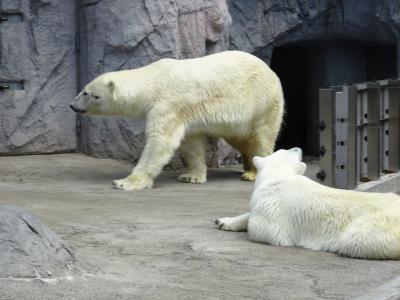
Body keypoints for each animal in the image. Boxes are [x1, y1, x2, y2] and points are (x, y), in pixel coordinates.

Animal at [70, 49, 282, 190]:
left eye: (89, 93)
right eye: (83, 90)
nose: (72, 105)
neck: (153, 82)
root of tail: (270, 70)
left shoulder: (168, 105)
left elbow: (160, 142)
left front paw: (126, 182)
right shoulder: (186, 113)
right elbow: (191, 143)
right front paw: (191, 176)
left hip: (262, 102)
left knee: (261, 136)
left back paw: (255, 172)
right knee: (240, 138)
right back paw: (248, 168)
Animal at [216, 148, 400, 260]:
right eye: (287, 149)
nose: (298, 147)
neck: (280, 176)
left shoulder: (273, 210)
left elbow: (262, 228)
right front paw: (222, 221)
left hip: (377, 223)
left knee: (355, 238)